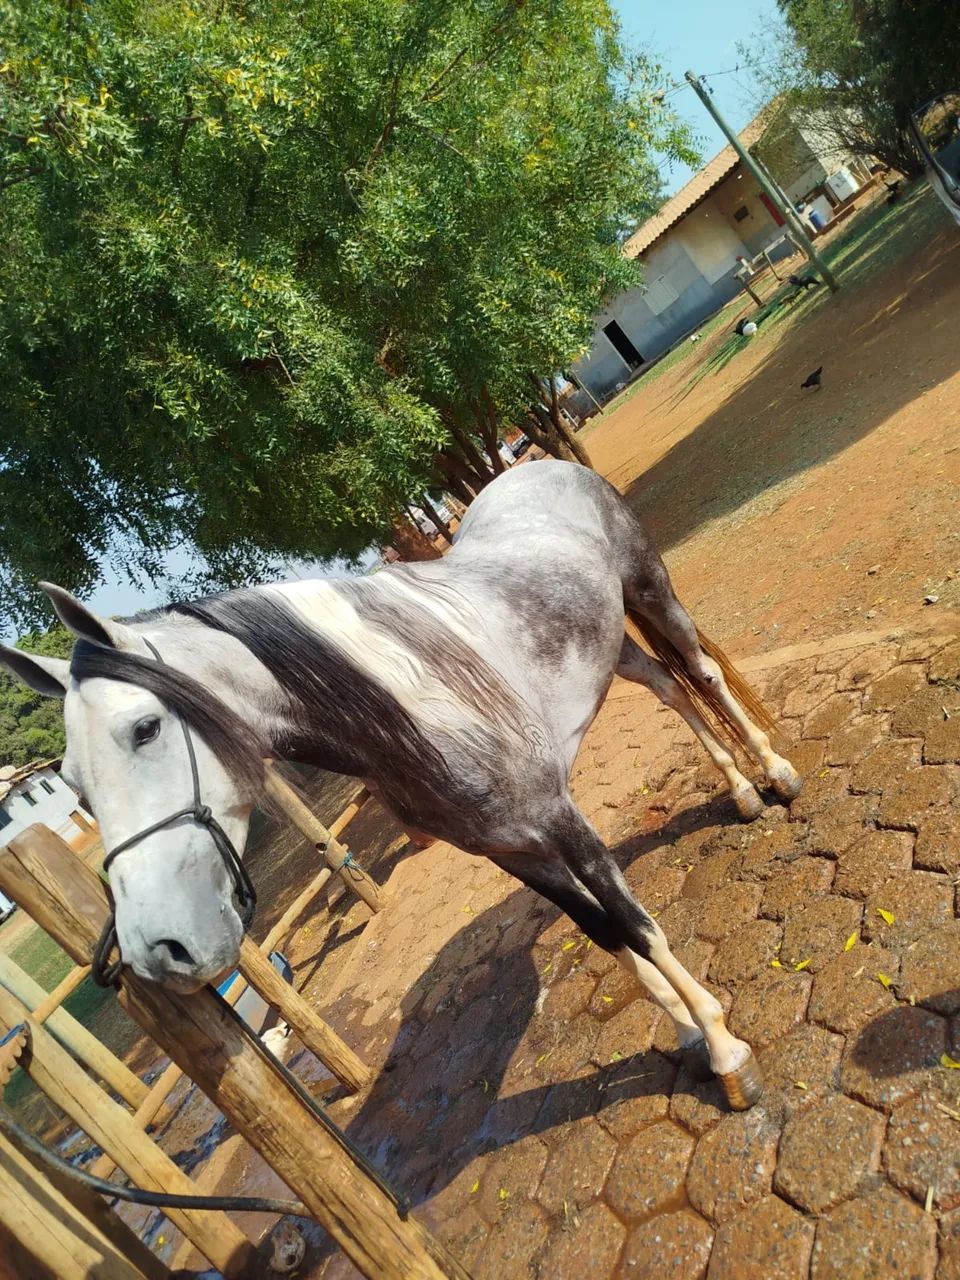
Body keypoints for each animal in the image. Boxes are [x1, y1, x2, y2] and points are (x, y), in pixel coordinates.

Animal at [0, 460, 802, 1110]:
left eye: (144, 729)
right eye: (70, 782)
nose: (155, 951)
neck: (412, 704)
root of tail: (544, 467)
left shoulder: (558, 817)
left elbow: (637, 925)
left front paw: (727, 1052)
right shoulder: (512, 851)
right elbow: (603, 934)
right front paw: (686, 1032)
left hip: (650, 590)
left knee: (700, 675)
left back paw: (777, 776)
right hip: (609, 646)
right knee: (667, 686)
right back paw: (740, 793)